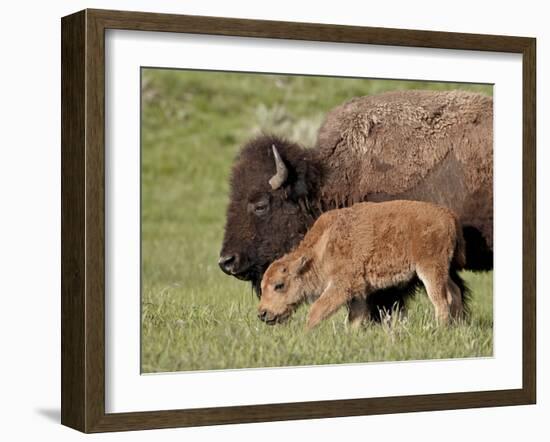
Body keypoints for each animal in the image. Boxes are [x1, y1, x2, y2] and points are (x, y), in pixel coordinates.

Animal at [260, 200, 468, 328]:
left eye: (279, 285)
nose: (262, 313)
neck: (321, 250)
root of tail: (448, 215)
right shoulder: (358, 292)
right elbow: (354, 319)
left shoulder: (341, 287)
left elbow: (316, 312)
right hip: (442, 271)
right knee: (455, 292)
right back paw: (457, 326)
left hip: (430, 270)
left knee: (441, 300)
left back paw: (440, 329)